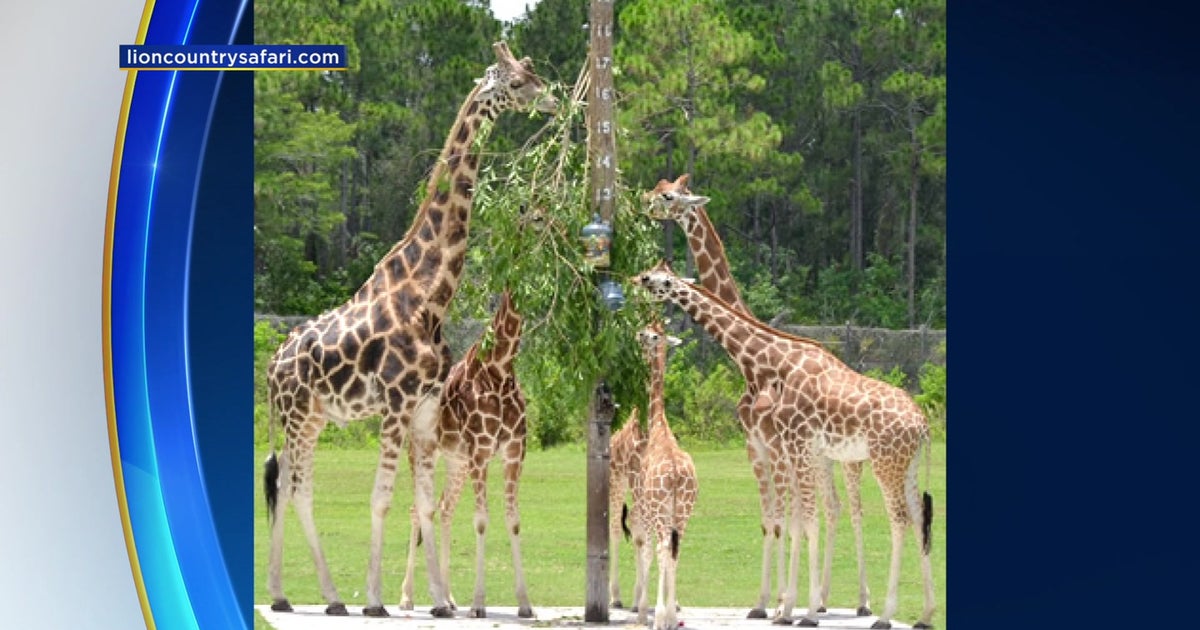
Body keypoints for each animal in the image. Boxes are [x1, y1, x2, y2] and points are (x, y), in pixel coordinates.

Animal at [395, 289, 533, 618]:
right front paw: (478, 604)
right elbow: (481, 521)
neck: (499, 371)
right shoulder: (481, 452)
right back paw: (407, 597)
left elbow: (513, 520)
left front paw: (525, 604)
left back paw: (448, 598)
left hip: (456, 462)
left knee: (444, 509)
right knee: (417, 510)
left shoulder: (514, 452)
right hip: (418, 452)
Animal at [630, 261, 936, 629]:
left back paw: (884, 614)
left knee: (898, 520)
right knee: (919, 517)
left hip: (883, 462)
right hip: (907, 465)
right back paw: (924, 614)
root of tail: (922, 425)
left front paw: (801, 611)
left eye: (659, 279)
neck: (777, 363)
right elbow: (797, 521)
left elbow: (804, 521)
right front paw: (789, 607)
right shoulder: (795, 449)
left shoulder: (793, 443)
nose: (636, 280)